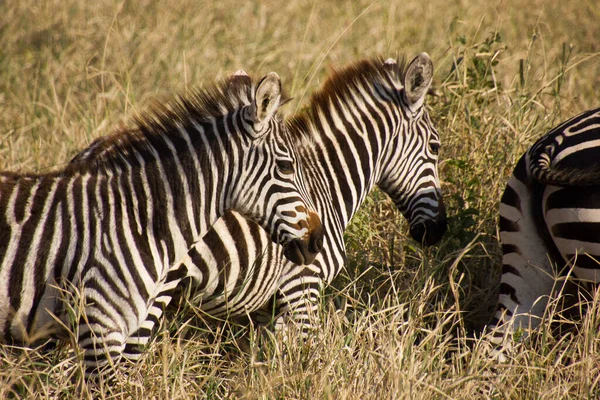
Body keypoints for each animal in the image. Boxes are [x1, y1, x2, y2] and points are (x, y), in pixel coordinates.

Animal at [91, 52, 448, 346]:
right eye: (435, 146)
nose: (438, 231)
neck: (326, 183)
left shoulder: (268, 309)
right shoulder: (303, 289)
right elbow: (304, 361)